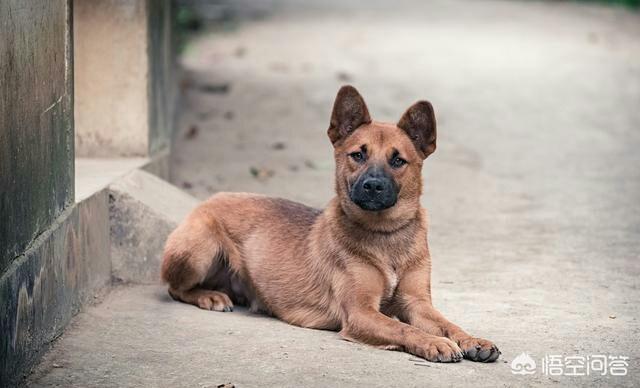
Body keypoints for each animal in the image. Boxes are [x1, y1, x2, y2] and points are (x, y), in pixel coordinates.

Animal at [161, 85, 500, 364]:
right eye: (358, 155)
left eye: (398, 161)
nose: (373, 186)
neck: (385, 235)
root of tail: (208, 200)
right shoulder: (361, 313)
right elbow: (401, 328)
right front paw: (433, 343)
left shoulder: (417, 303)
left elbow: (448, 323)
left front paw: (472, 339)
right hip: (199, 248)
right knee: (174, 289)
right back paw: (210, 296)